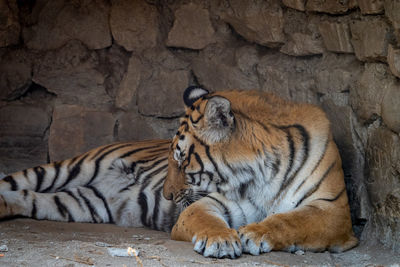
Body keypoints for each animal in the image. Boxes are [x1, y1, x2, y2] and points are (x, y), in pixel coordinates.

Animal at [162, 87, 360, 258]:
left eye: (181, 161)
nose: (167, 196)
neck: (265, 172)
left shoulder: (333, 208)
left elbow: (291, 220)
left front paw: (254, 233)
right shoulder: (210, 203)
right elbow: (204, 219)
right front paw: (220, 240)